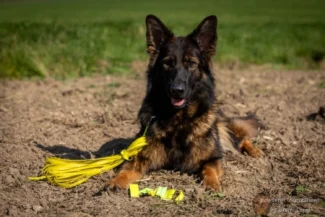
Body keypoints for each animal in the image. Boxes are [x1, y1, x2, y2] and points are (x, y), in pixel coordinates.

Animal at [107, 14, 262, 192]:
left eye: (192, 63)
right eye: (167, 63)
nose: (177, 90)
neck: (178, 119)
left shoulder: (213, 157)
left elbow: (209, 168)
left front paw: (212, 184)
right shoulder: (141, 156)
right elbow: (126, 169)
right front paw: (115, 182)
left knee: (241, 139)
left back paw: (256, 153)